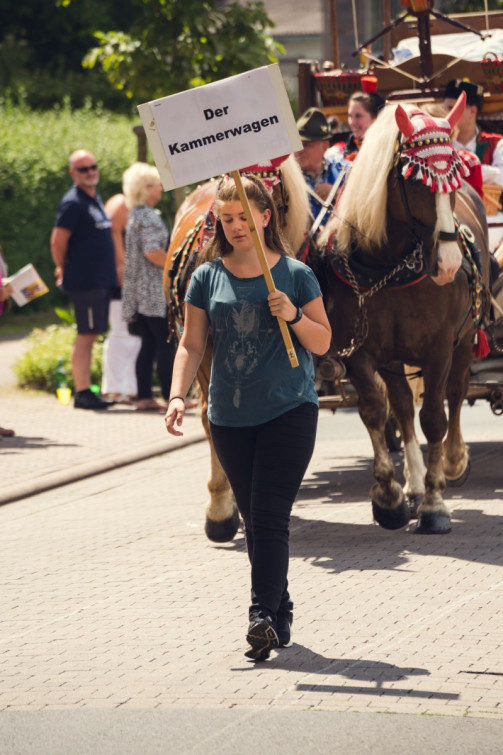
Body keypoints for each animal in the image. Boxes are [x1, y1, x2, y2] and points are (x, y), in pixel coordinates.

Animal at [316, 100, 490, 536]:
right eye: (417, 183)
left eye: (454, 182)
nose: (448, 265)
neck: (387, 266)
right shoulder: (359, 351)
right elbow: (378, 411)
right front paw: (390, 496)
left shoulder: (439, 347)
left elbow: (435, 418)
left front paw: (434, 503)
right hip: (393, 356)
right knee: (403, 408)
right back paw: (412, 484)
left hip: (465, 339)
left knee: (455, 395)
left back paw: (453, 460)